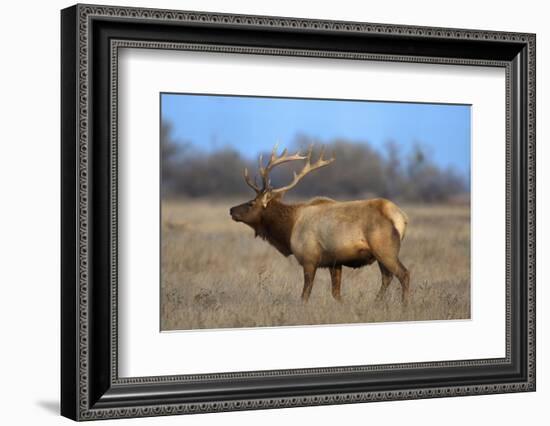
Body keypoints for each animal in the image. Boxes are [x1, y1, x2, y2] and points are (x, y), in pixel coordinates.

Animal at [229, 146, 410, 302]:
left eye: (251, 203)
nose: (231, 210)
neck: (288, 229)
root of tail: (400, 217)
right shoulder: (334, 262)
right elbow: (336, 294)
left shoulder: (309, 258)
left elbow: (305, 295)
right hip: (381, 254)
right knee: (387, 277)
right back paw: (376, 302)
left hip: (385, 249)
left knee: (403, 274)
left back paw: (404, 305)